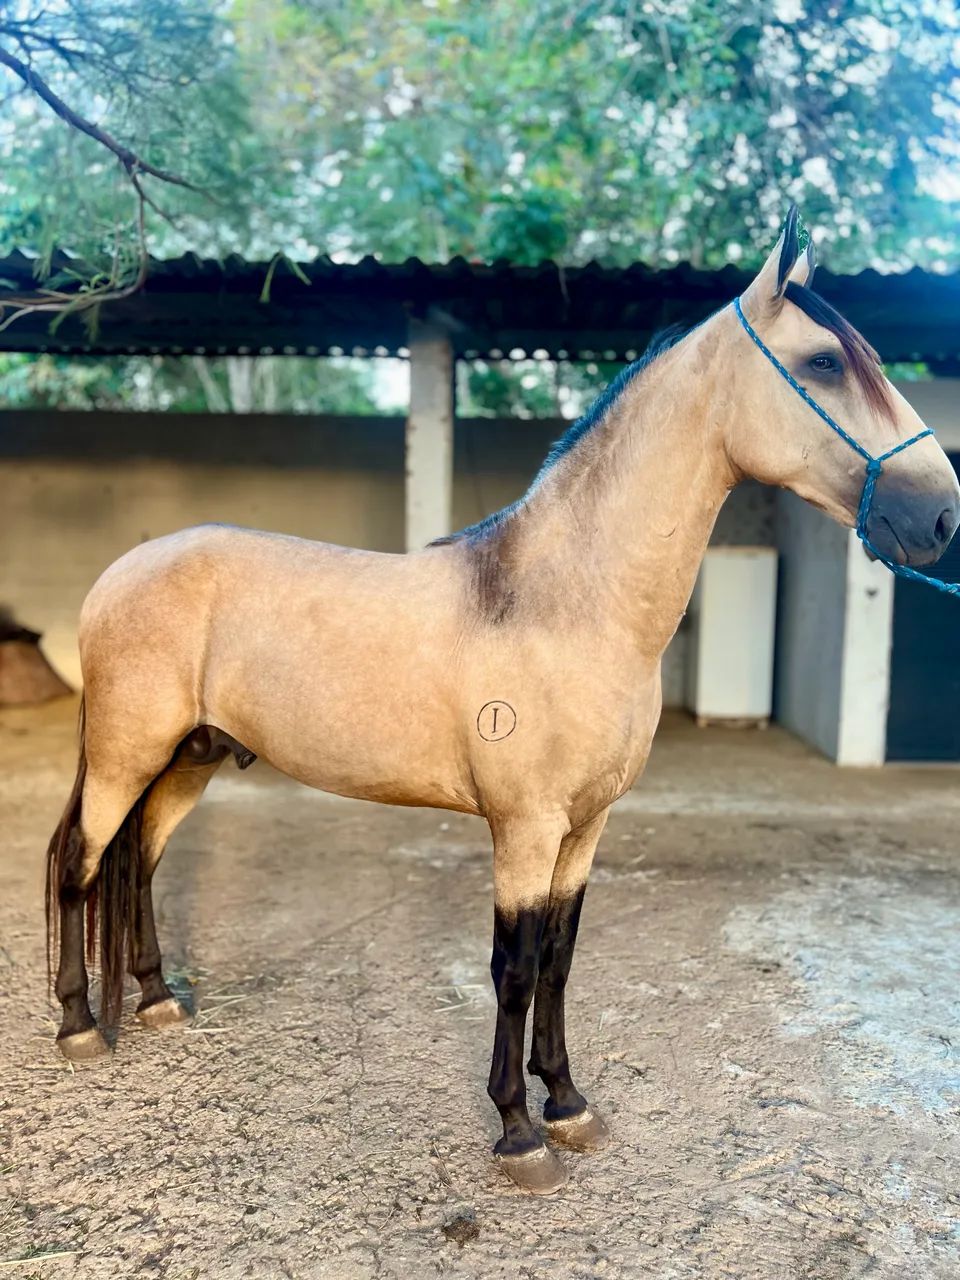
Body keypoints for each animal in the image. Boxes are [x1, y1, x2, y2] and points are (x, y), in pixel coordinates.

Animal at [45, 208, 960, 1195]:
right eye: (826, 361)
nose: (940, 515)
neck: (564, 603)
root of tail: (119, 573)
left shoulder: (586, 827)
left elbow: (559, 960)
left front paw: (569, 1103)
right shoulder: (523, 829)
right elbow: (514, 968)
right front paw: (519, 1131)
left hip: (189, 759)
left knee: (138, 862)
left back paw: (156, 1000)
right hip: (128, 755)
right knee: (80, 863)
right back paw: (78, 1026)